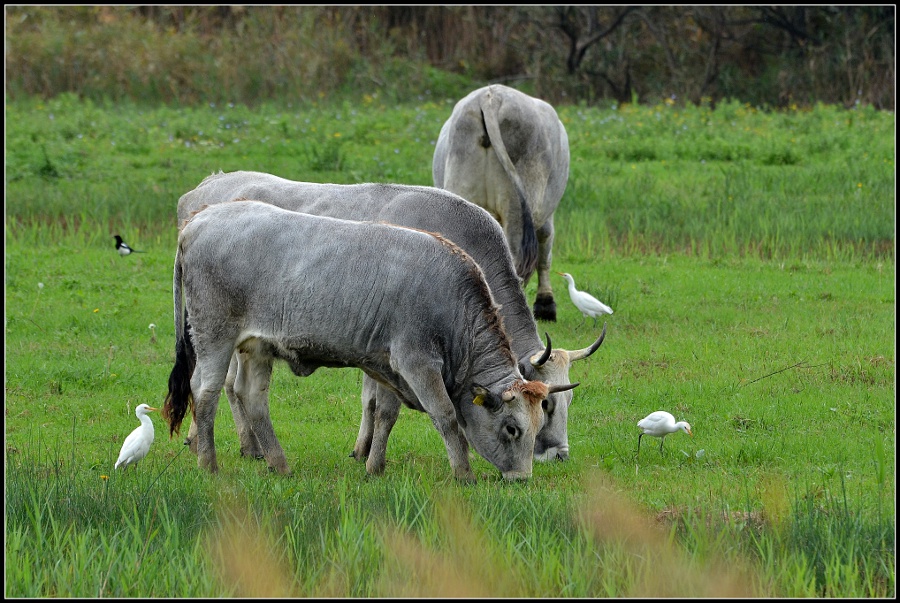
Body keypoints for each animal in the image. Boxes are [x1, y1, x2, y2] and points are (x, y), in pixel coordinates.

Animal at [176, 169, 604, 468]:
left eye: (563, 401)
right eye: (548, 407)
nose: (559, 455)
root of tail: (202, 194)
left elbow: (375, 403)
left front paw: (364, 451)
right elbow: (380, 403)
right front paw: (365, 452)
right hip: (216, 333)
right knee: (214, 385)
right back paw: (220, 448)